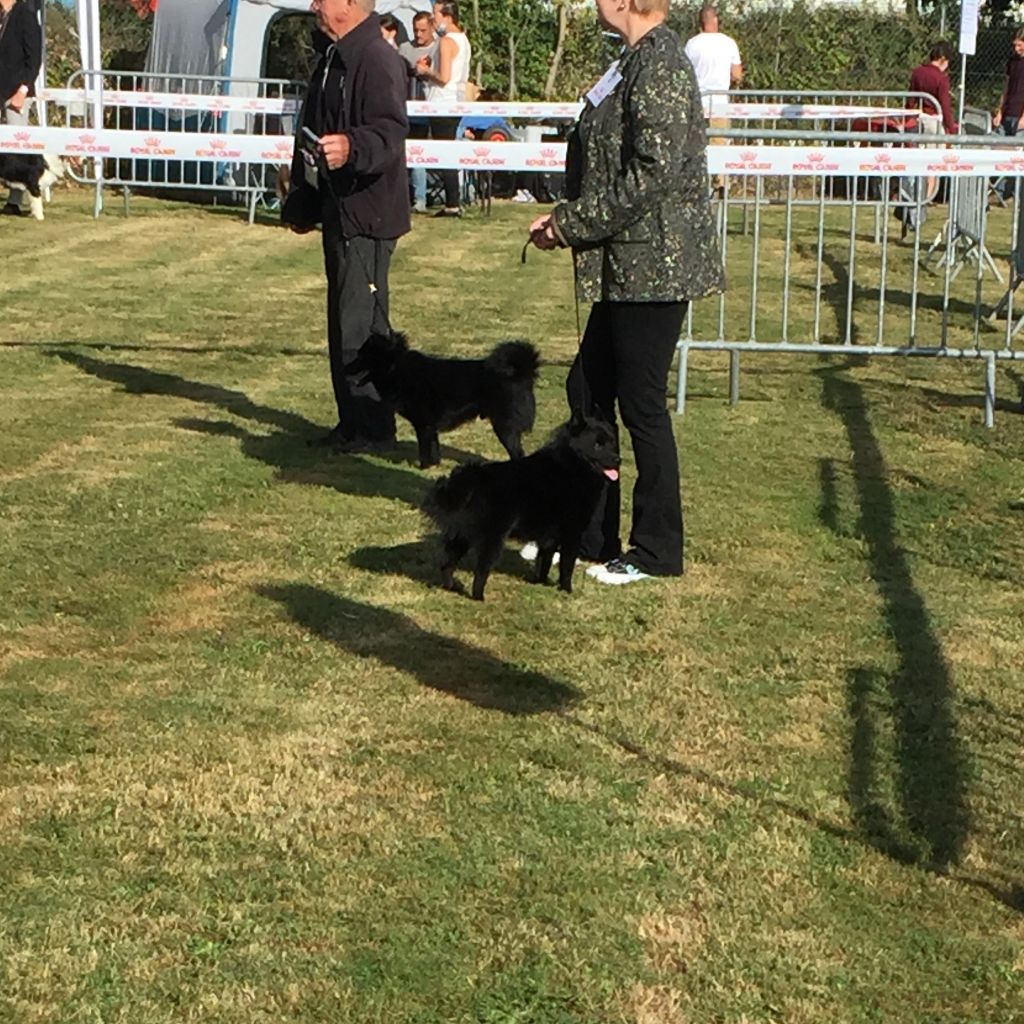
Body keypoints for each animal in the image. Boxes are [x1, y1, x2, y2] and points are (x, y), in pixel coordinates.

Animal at [344, 331, 539, 468]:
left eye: (362, 355)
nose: (345, 368)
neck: (396, 366)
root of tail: (521, 374)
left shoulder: (423, 425)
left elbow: (424, 450)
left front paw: (423, 467)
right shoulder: (431, 427)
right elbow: (434, 448)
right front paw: (434, 466)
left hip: (505, 427)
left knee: (518, 453)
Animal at [421, 412, 620, 600]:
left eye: (612, 442)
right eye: (597, 444)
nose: (618, 460)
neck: (571, 465)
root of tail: (472, 478)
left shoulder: (549, 536)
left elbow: (544, 561)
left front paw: (540, 582)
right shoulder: (572, 532)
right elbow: (566, 565)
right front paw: (566, 590)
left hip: (463, 535)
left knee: (447, 564)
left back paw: (451, 586)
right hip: (493, 538)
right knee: (481, 571)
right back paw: (479, 597)